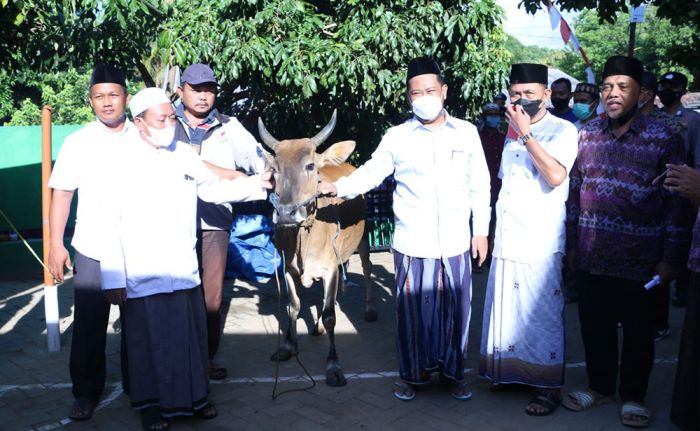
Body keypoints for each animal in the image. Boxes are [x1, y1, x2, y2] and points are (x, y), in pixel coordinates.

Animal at [258, 111, 374, 388]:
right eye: (274, 169)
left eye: (310, 166)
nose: (286, 213)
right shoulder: (288, 269)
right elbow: (293, 306)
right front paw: (288, 346)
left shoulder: (331, 268)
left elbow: (331, 314)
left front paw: (333, 366)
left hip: (363, 240)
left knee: (366, 268)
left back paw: (369, 309)